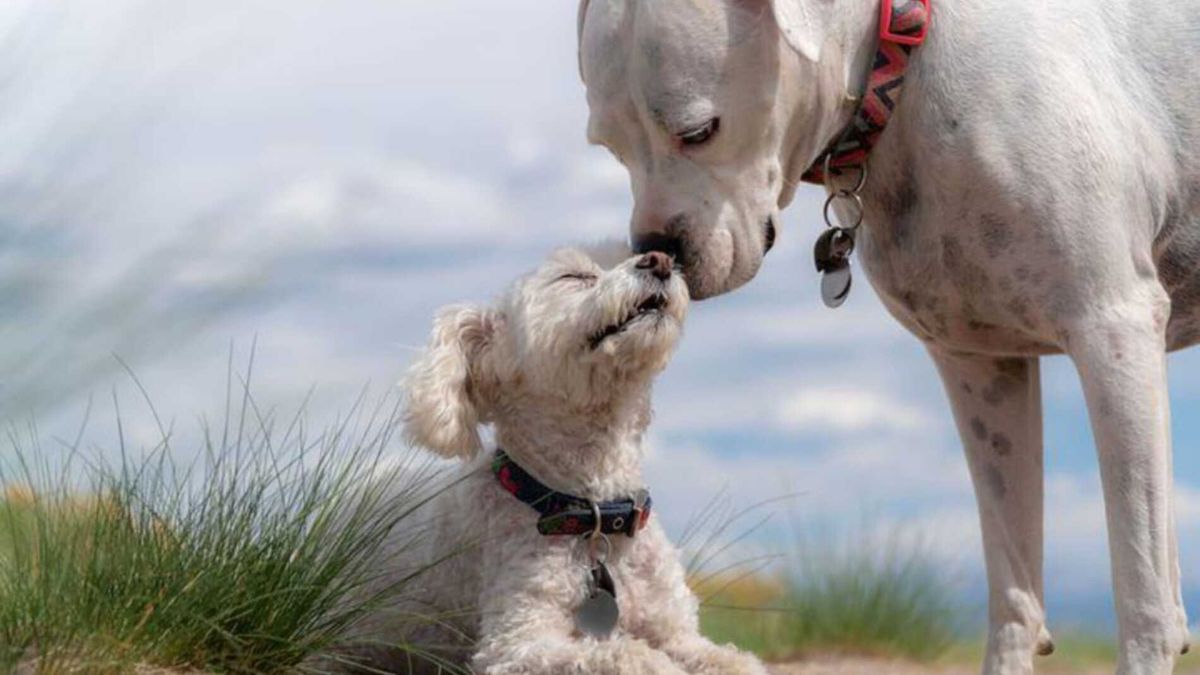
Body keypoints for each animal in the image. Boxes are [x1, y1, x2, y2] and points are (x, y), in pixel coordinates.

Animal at [350, 239, 772, 667]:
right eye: (574, 276)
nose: (661, 260)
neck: (594, 513)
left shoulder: (679, 633)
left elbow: (733, 660)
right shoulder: (518, 641)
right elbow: (624, 653)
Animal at [576, 1, 1200, 672]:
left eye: (698, 131)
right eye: (610, 148)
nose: (657, 251)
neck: (901, 60)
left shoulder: (1112, 328)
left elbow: (1143, 589)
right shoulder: (982, 367)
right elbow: (1014, 588)